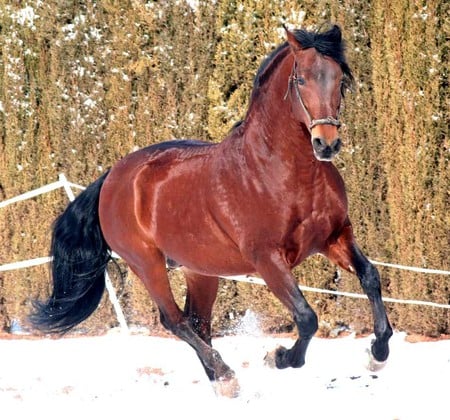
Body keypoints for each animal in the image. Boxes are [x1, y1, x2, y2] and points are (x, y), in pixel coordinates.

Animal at [30, 24, 390, 398]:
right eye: (301, 79)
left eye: (339, 79)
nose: (326, 144)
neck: (283, 172)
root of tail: (113, 177)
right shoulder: (267, 259)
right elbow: (306, 317)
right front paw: (277, 357)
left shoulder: (335, 237)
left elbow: (370, 277)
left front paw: (376, 354)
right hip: (146, 263)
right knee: (174, 320)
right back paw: (227, 375)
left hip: (200, 270)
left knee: (198, 322)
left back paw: (221, 380)